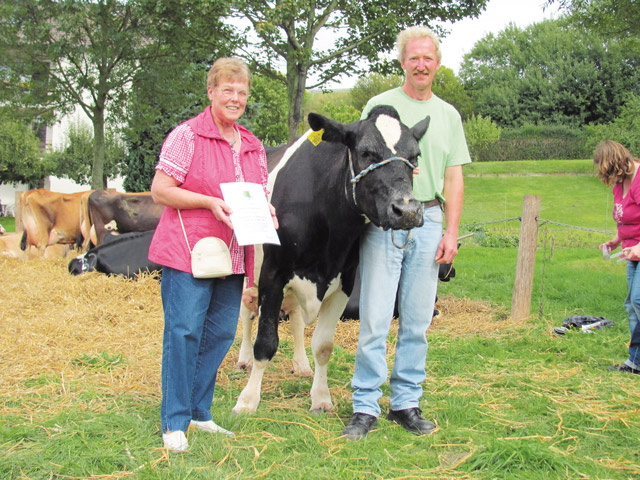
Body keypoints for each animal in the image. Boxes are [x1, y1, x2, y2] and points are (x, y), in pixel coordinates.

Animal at [232, 105, 430, 414]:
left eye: (415, 157)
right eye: (366, 152)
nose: (407, 211)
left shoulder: (343, 281)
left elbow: (323, 346)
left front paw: (321, 397)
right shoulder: (273, 274)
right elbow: (265, 342)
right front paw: (248, 400)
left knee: (296, 318)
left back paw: (301, 364)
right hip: (246, 271)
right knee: (246, 313)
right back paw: (244, 359)